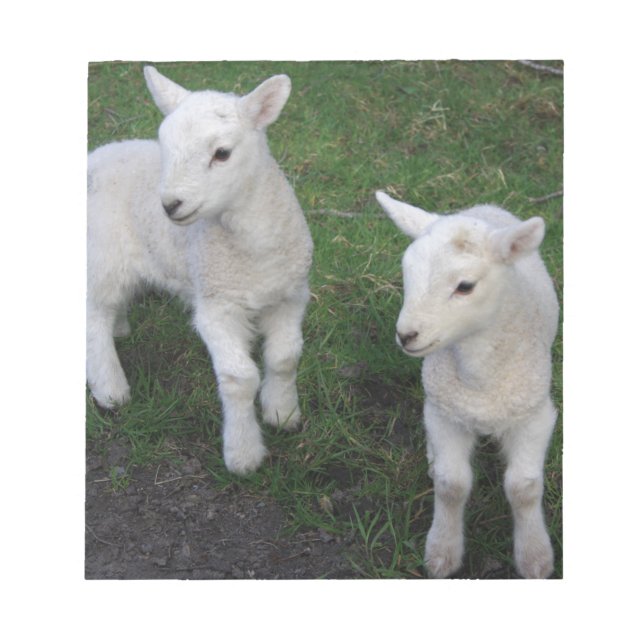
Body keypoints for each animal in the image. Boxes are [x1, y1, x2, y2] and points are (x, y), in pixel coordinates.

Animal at [87, 66, 313, 475]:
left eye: (222, 153)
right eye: (163, 145)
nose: (171, 205)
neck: (254, 248)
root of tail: (95, 155)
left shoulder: (291, 295)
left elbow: (284, 358)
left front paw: (283, 413)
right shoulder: (216, 304)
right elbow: (240, 378)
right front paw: (243, 454)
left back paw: (120, 328)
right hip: (103, 254)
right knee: (93, 318)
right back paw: (111, 390)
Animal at [376, 191, 559, 579]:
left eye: (465, 287)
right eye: (406, 273)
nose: (406, 335)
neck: (479, 379)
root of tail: (482, 207)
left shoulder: (535, 415)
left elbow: (524, 487)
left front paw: (534, 557)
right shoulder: (445, 413)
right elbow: (452, 485)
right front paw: (442, 552)